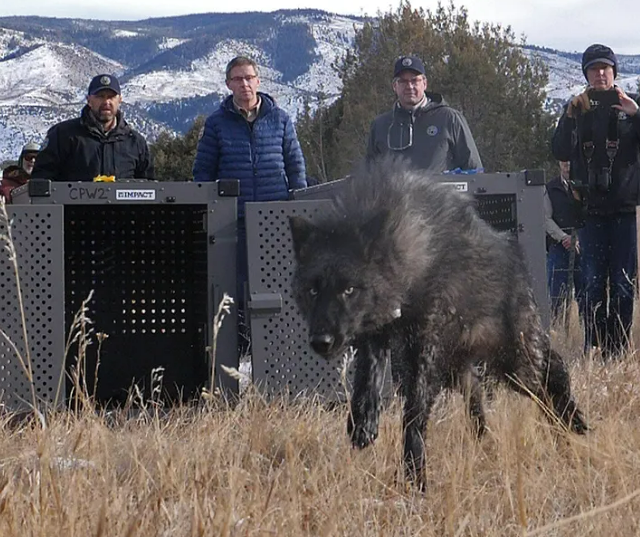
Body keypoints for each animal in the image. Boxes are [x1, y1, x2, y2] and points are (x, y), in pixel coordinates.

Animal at [289, 157, 588, 488]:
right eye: (313, 290)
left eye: (349, 289)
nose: (321, 342)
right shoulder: (375, 336)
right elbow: (367, 382)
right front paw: (364, 424)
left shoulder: (424, 348)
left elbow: (414, 413)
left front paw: (415, 475)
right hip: (465, 371)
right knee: (479, 401)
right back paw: (489, 444)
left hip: (517, 364)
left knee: (553, 377)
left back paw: (572, 423)